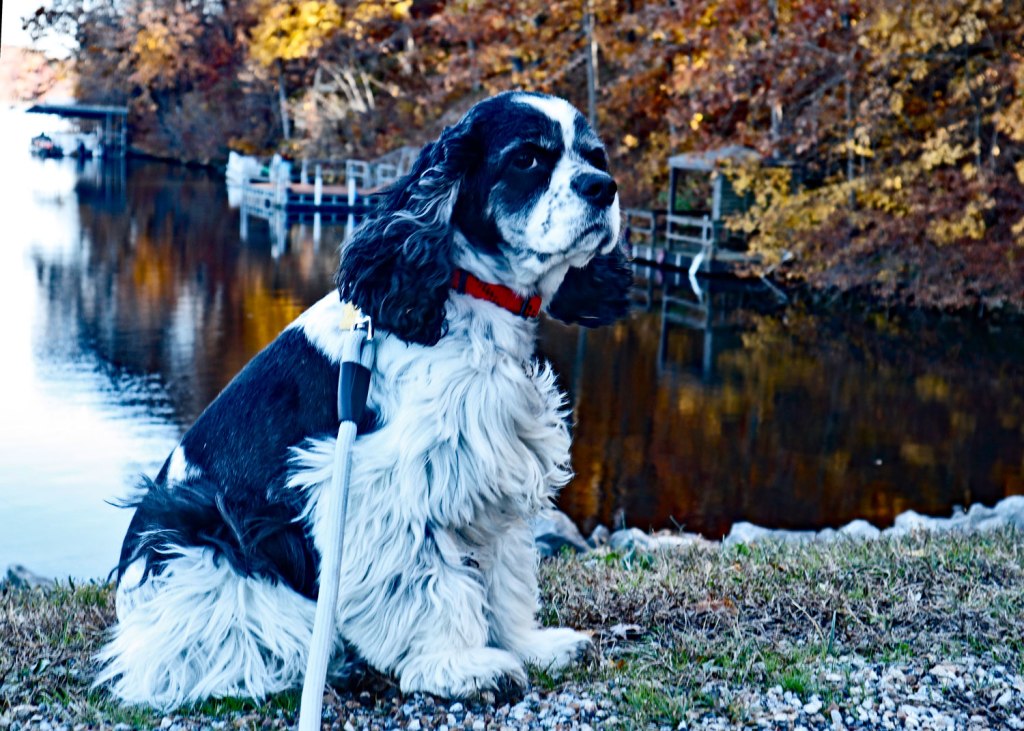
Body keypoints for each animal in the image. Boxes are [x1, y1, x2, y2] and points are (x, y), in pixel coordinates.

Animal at [96, 91, 632, 710]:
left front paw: (528, 646)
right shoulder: (379, 485)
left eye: (595, 157)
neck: (469, 307)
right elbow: (427, 584)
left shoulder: (489, 473)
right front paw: (459, 666)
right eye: (527, 159)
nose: (603, 187)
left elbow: (506, 579)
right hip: (205, 534)